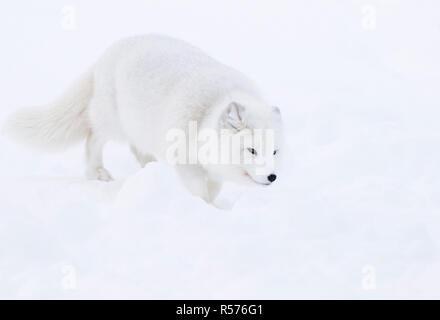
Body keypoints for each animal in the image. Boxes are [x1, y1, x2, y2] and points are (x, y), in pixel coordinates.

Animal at [3, 35, 284, 205]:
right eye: (251, 150)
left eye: (274, 151)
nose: (273, 177)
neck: (207, 114)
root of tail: (107, 54)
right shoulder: (187, 163)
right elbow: (198, 192)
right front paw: (206, 209)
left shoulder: (213, 171)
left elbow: (212, 191)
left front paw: (213, 206)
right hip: (112, 123)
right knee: (93, 138)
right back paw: (97, 172)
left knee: (136, 148)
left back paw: (150, 167)